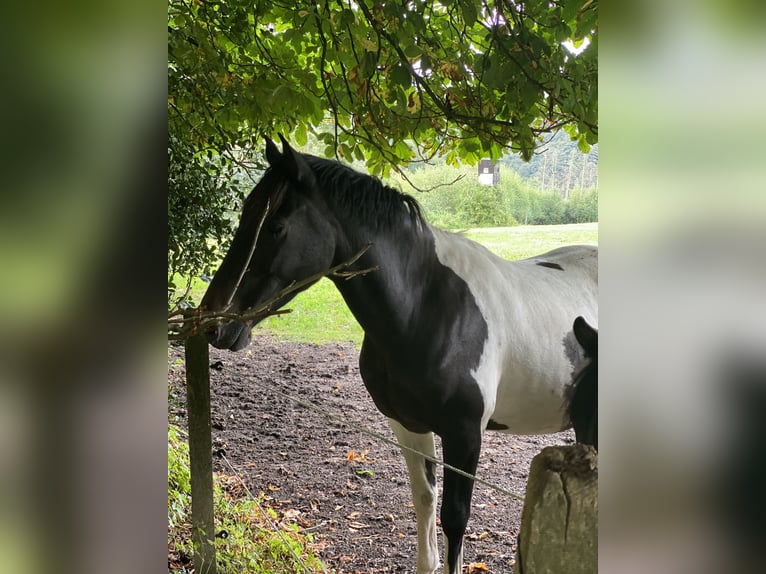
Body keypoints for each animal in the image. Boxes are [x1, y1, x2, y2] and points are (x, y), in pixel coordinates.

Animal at [202, 136, 600, 574]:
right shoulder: (407, 425)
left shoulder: (465, 434)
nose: (214, 323)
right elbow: (424, 502)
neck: (427, 308)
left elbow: (454, 518)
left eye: (275, 226)